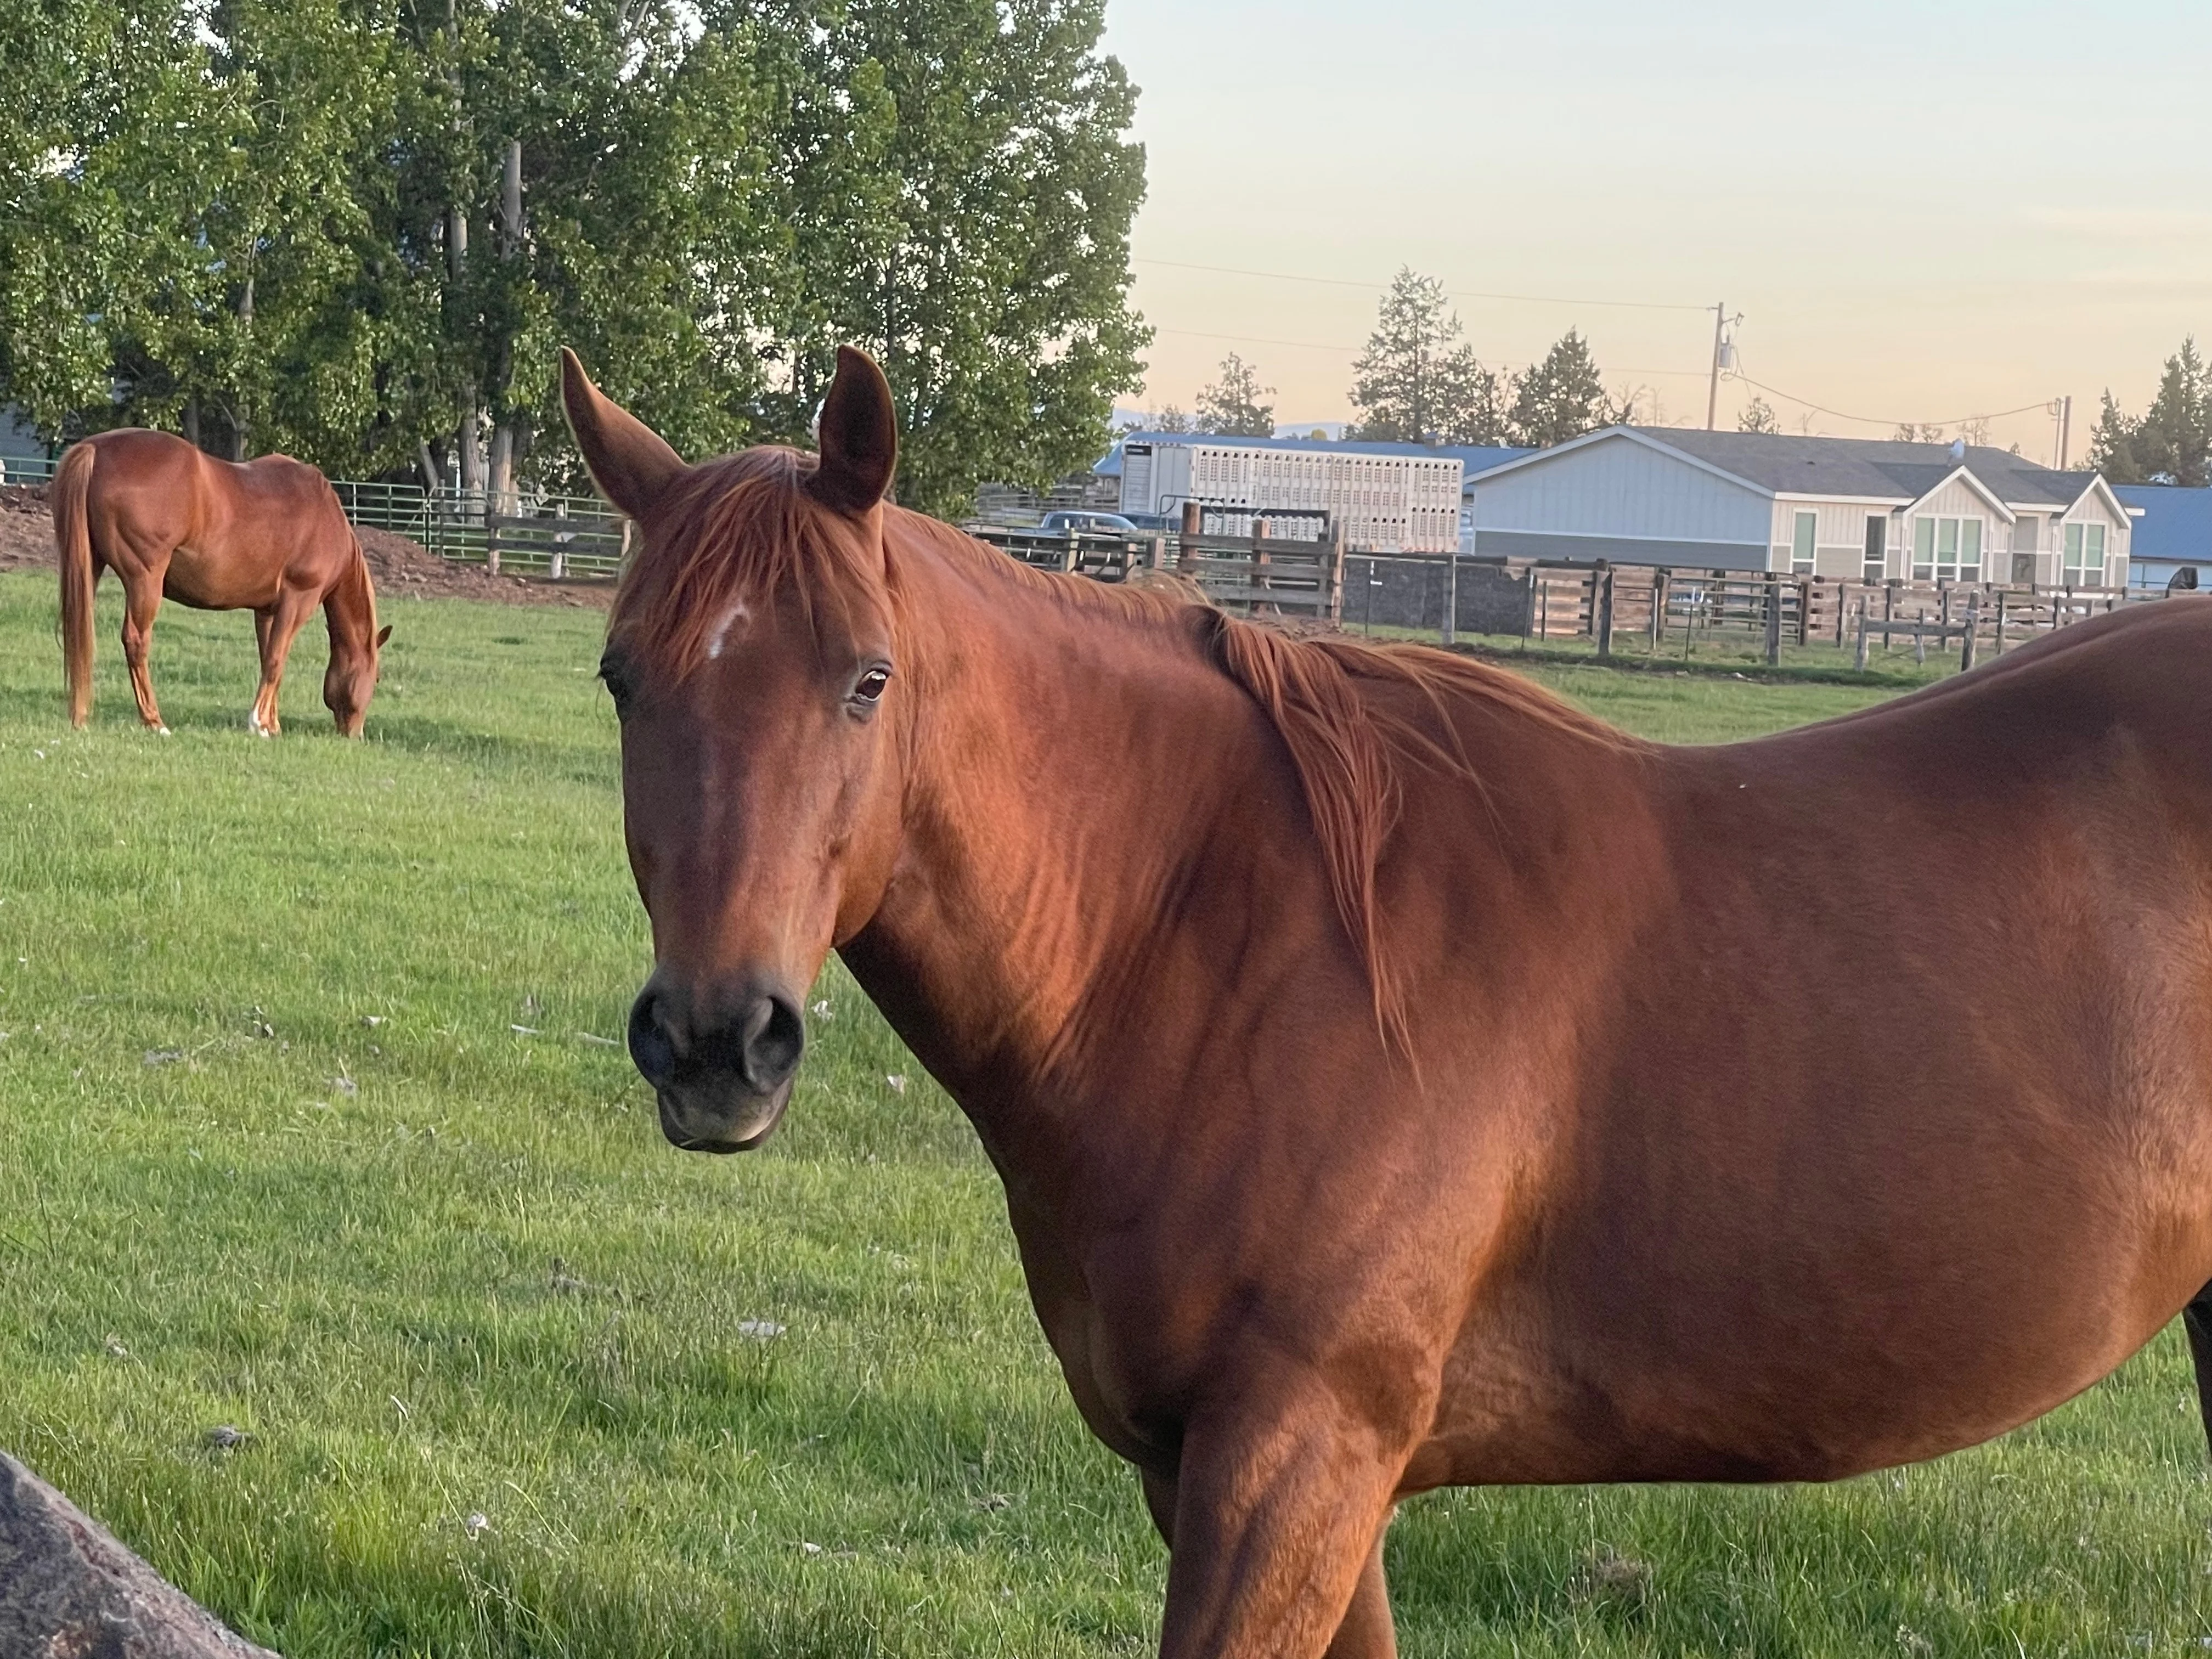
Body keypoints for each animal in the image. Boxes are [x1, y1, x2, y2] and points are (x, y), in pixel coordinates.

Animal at [50, 429, 391, 735]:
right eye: (376, 679)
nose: (355, 734)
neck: (326, 517)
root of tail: (96, 450)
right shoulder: (298, 600)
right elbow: (277, 660)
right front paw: (259, 724)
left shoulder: (267, 610)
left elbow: (269, 659)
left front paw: (272, 724)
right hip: (145, 580)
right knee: (136, 641)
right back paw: (154, 721)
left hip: (89, 568)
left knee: (79, 635)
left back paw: (80, 717)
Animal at [564, 343, 2212, 1659]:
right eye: (623, 678)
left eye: (868, 680)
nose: (717, 1042)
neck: (1225, 938)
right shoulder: (1244, 1474)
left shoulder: (1297, 1455)